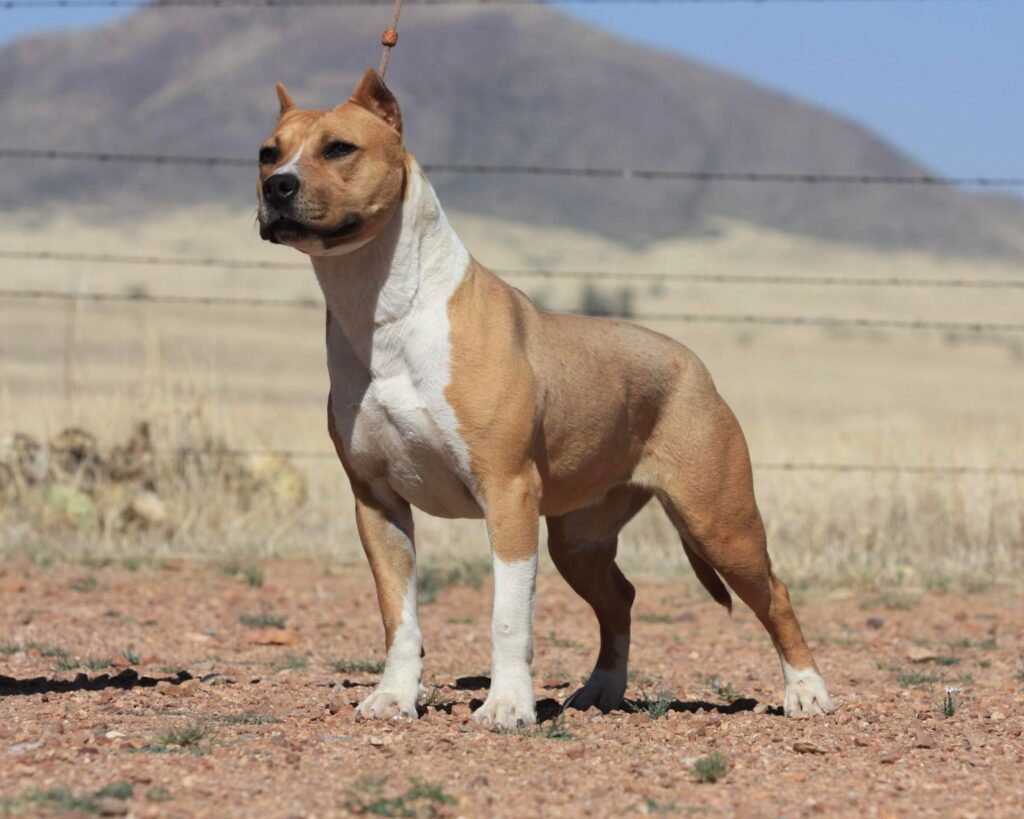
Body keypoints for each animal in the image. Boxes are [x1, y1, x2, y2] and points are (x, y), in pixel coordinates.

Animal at [256, 68, 831, 728]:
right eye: (268, 152)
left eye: (339, 149)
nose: (277, 186)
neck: (389, 312)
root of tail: (693, 364)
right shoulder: (377, 501)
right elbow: (398, 614)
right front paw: (394, 697)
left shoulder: (507, 493)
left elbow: (509, 616)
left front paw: (507, 706)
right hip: (578, 538)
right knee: (620, 598)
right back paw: (602, 690)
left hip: (719, 519)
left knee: (773, 593)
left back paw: (807, 692)